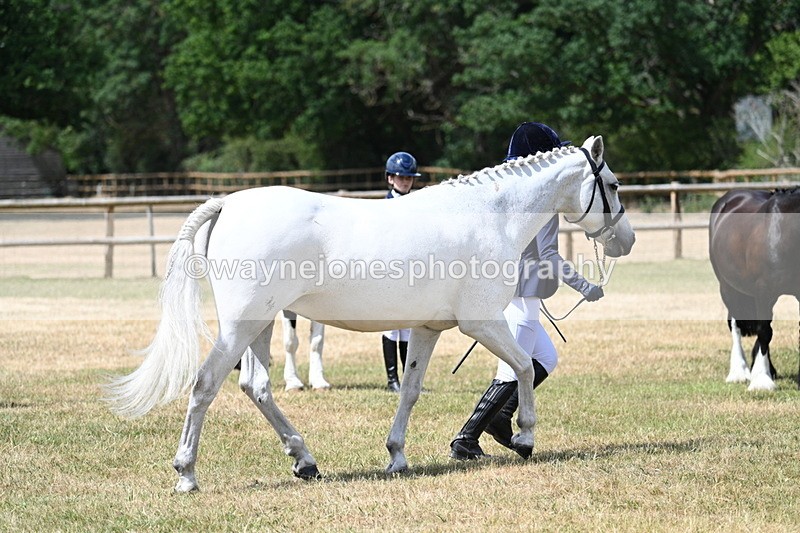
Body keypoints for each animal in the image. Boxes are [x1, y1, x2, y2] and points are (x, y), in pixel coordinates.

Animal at [106, 136, 635, 492]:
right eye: (611, 184)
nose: (626, 241)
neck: (488, 214)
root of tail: (228, 204)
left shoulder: (428, 327)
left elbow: (412, 390)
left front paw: (397, 456)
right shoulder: (482, 322)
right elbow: (523, 367)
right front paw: (524, 437)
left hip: (258, 326)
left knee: (255, 386)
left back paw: (305, 461)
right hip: (241, 326)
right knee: (205, 385)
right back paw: (187, 474)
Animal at [709, 187, 800, 391]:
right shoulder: (763, 291)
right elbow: (764, 331)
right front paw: (762, 381)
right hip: (728, 288)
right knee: (735, 324)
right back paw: (739, 372)